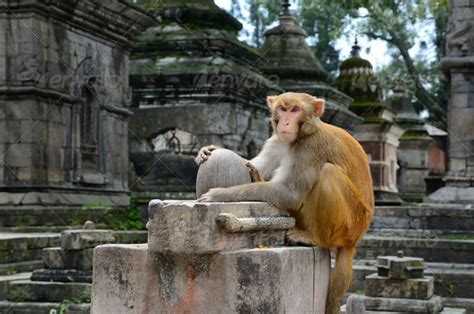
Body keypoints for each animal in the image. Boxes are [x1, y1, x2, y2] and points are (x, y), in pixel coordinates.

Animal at [196, 92, 374, 312]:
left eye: (296, 110)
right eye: (283, 109)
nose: (286, 122)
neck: (299, 136)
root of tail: (355, 241)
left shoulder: (310, 148)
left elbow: (290, 194)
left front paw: (219, 194)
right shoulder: (276, 141)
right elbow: (256, 165)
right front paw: (209, 149)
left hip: (351, 224)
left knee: (327, 172)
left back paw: (315, 239)